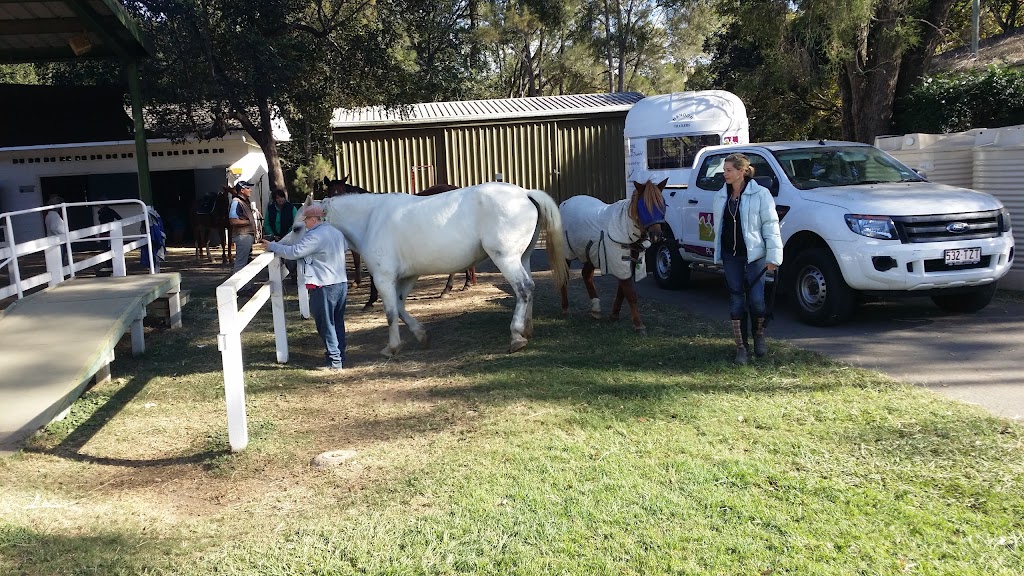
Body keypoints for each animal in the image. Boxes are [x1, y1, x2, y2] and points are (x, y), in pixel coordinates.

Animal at [284, 182, 573, 354]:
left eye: (297, 227)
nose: (285, 255)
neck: (371, 220)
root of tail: (524, 193)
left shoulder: (384, 278)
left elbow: (391, 312)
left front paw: (392, 347)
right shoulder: (407, 277)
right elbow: (401, 307)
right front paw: (422, 335)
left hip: (506, 258)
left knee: (523, 289)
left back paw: (516, 337)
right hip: (522, 257)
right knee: (529, 289)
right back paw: (527, 330)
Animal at [557, 177, 667, 334]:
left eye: (663, 204)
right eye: (645, 207)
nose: (657, 235)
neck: (625, 227)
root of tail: (564, 203)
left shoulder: (629, 262)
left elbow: (622, 291)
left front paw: (614, 315)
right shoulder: (620, 262)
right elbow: (630, 293)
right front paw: (639, 324)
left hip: (591, 253)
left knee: (586, 274)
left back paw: (596, 309)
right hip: (567, 254)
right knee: (564, 277)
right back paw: (566, 309)